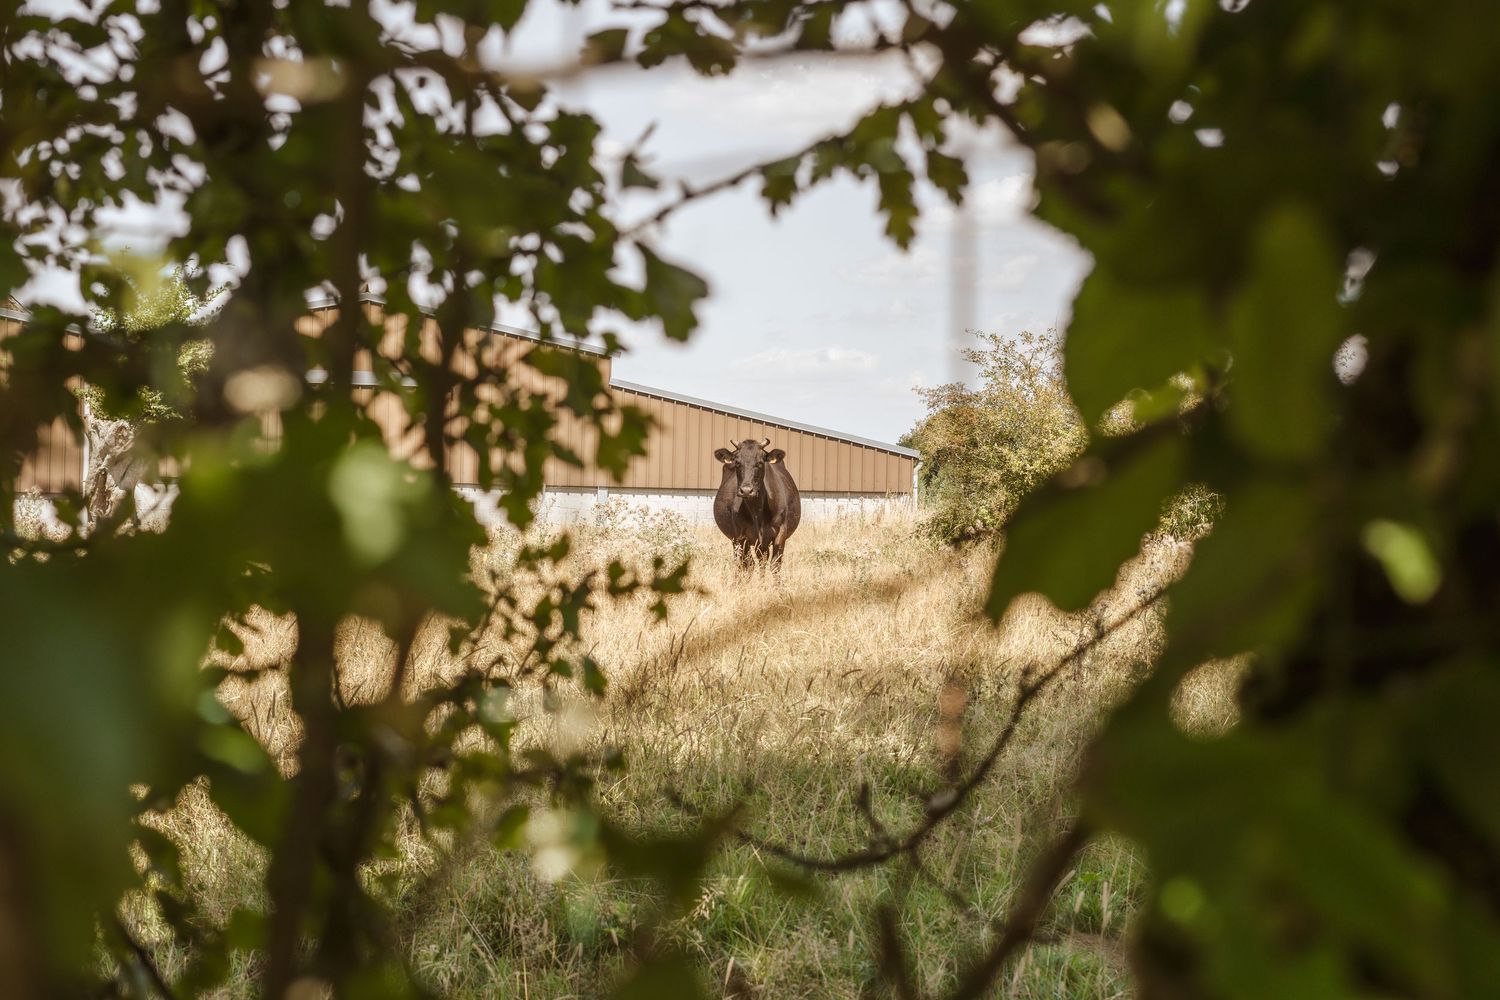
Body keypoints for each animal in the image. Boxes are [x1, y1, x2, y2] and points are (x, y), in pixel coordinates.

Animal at [712, 437, 802, 569]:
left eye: (760, 463)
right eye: (737, 463)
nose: (746, 490)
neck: (757, 511)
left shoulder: (780, 532)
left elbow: (775, 564)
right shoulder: (741, 536)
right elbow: (747, 565)